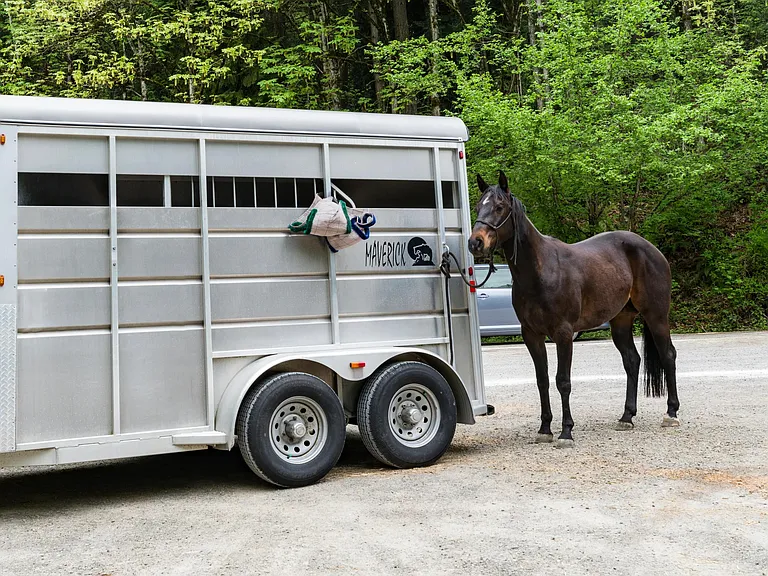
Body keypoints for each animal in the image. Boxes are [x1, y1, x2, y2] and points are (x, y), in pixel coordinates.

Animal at [468, 171, 680, 448]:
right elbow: (542, 380)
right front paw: (545, 429)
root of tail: (652, 249)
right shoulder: (531, 334)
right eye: (477, 207)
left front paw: (566, 431)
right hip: (621, 322)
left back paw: (671, 413)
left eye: (499, 207)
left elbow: (563, 381)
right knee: (632, 361)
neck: (540, 271)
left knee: (668, 356)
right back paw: (626, 417)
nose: (475, 243)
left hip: (656, 316)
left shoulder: (563, 333)